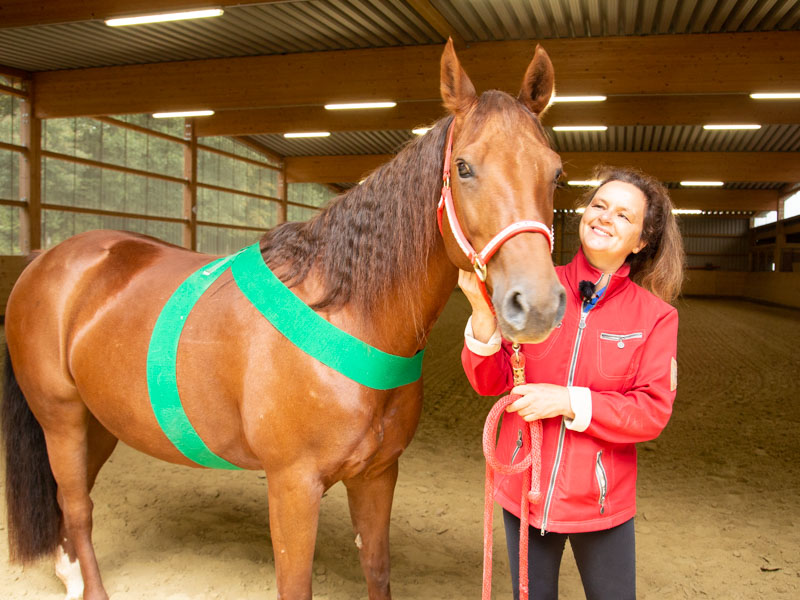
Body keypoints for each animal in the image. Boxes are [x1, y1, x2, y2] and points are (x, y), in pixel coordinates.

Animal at [1, 42, 564, 600]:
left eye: (555, 172)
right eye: (464, 167)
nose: (536, 303)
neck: (347, 314)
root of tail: (45, 261)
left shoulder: (379, 474)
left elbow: (377, 567)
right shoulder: (293, 486)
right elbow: (296, 584)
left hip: (99, 420)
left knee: (69, 500)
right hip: (62, 419)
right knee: (77, 506)